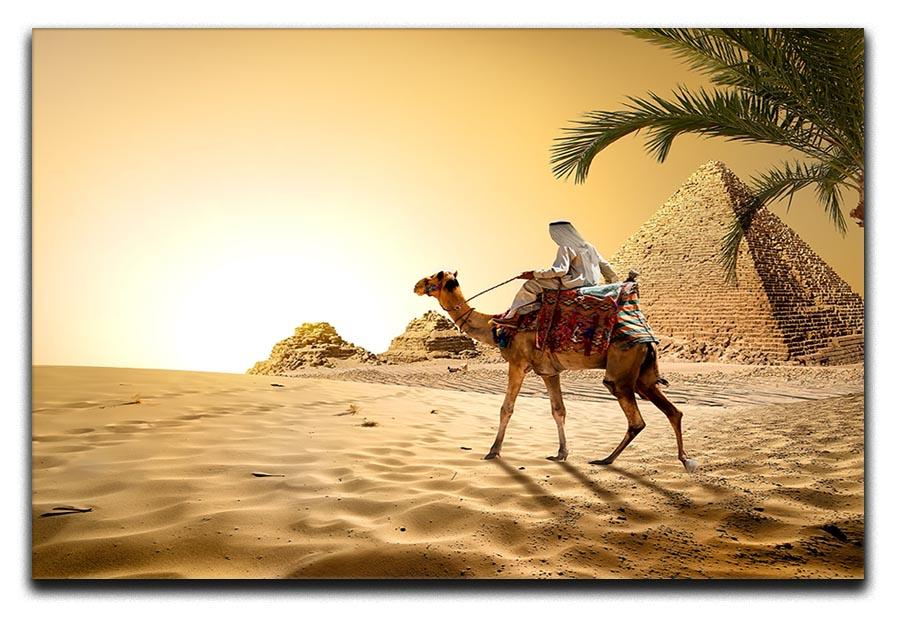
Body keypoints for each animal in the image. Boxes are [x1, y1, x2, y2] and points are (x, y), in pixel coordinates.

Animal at [414, 270, 698, 472]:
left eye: (433, 276)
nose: (416, 285)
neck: (495, 326)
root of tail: (647, 337)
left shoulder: (518, 363)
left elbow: (506, 409)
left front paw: (493, 451)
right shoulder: (549, 371)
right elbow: (558, 410)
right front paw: (561, 453)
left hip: (622, 369)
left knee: (636, 419)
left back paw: (605, 460)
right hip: (643, 376)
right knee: (673, 412)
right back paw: (684, 459)